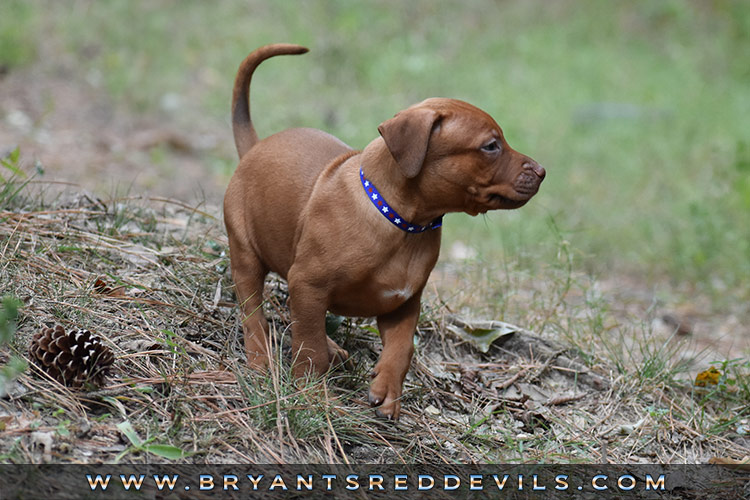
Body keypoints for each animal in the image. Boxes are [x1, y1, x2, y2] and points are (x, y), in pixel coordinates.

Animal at [223, 43, 548, 420]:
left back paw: (333, 348)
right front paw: (311, 392)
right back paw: (261, 357)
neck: (404, 224)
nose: (542, 171)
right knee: (255, 312)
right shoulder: (309, 281)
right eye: (491, 146)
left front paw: (388, 392)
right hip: (245, 250)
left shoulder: (403, 304)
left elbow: (401, 349)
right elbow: (309, 346)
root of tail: (255, 147)